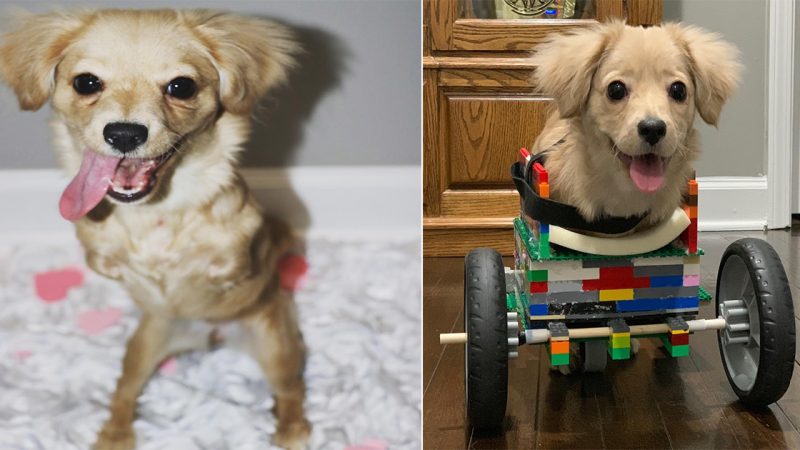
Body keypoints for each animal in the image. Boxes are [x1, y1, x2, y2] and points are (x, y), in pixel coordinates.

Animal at [0, 10, 310, 450]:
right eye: (86, 82)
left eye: (181, 86)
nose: (124, 134)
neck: (153, 212)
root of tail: (211, 337)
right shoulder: (94, 239)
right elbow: (101, 252)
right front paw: (139, 268)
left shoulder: (250, 232)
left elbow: (229, 253)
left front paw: (199, 270)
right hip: (141, 348)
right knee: (124, 394)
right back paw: (114, 435)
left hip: (279, 348)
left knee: (290, 392)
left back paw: (292, 431)